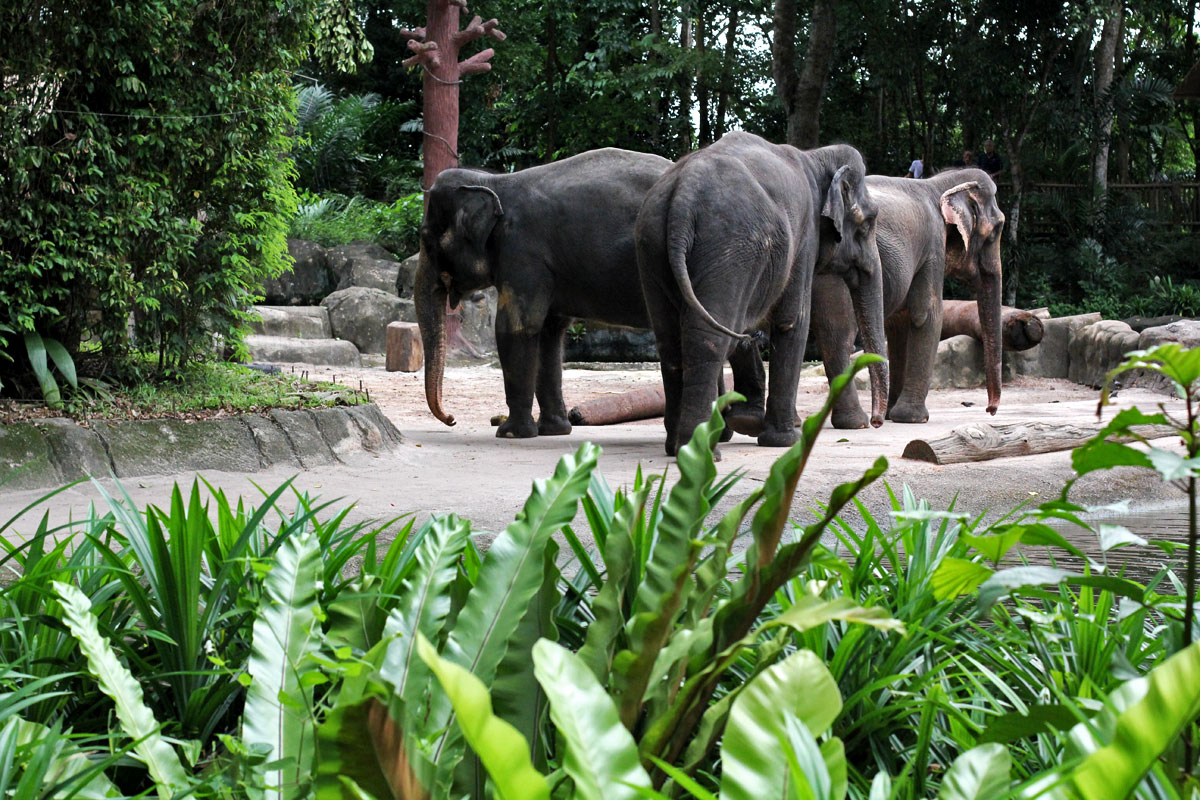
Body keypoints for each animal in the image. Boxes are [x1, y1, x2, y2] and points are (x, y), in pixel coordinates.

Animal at [415, 148, 676, 441]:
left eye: (426, 238)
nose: (451, 419)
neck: (494, 181)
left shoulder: (523, 254)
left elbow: (516, 328)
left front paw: (510, 434)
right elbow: (549, 334)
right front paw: (554, 431)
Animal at [633, 131, 888, 455]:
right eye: (868, 223)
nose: (876, 422)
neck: (816, 157)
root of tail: (682, 197)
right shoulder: (804, 239)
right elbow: (793, 321)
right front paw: (785, 441)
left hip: (651, 248)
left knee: (669, 342)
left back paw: (676, 447)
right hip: (729, 250)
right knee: (710, 338)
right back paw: (700, 450)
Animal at [816, 170, 1003, 431]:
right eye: (996, 231)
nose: (990, 410)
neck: (938, 184)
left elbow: (899, 324)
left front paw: (893, 413)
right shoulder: (933, 245)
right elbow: (927, 314)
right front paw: (913, 418)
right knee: (840, 334)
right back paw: (858, 423)